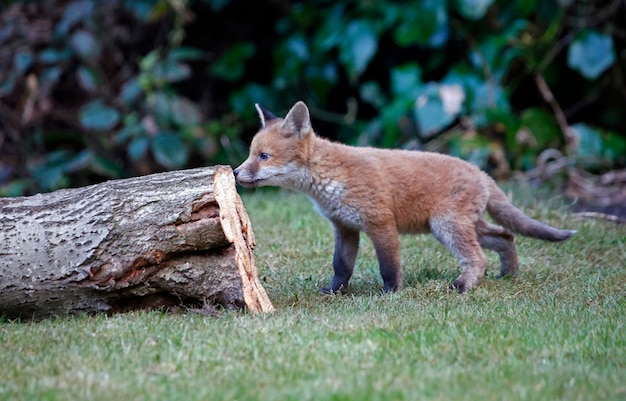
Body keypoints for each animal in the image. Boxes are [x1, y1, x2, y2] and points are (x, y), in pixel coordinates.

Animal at [235, 101, 576, 292]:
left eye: (263, 156)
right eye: (251, 154)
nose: (236, 173)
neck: (330, 178)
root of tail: (481, 172)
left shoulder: (380, 223)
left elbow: (389, 266)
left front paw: (391, 293)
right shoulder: (345, 228)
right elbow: (340, 267)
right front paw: (333, 292)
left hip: (447, 226)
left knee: (478, 258)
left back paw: (463, 286)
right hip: (459, 227)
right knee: (506, 235)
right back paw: (509, 276)